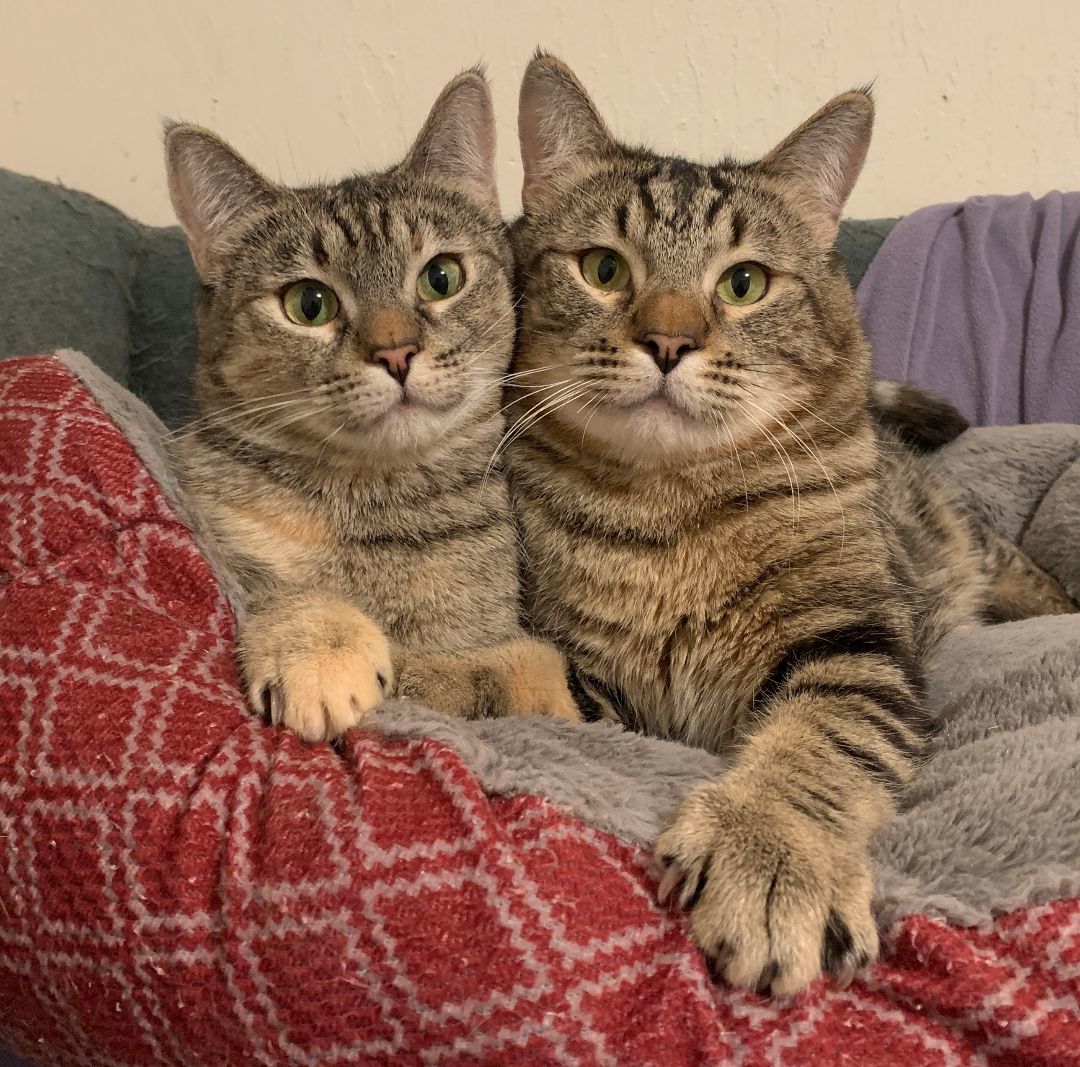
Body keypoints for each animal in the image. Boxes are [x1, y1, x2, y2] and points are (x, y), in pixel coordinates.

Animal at [164, 70, 578, 747]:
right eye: (309, 304)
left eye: (441, 277)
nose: (396, 352)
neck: (370, 499)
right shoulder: (233, 547)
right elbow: (284, 589)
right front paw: (316, 646)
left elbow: (492, 669)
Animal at [507, 54, 1071, 997]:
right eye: (603, 268)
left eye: (744, 283)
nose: (667, 340)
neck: (671, 507)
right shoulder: (591, 676)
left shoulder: (853, 640)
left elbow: (816, 744)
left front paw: (770, 857)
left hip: (958, 547)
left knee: (1022, 571)